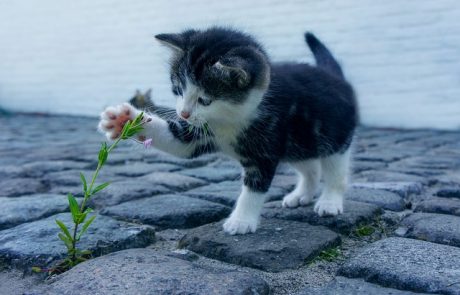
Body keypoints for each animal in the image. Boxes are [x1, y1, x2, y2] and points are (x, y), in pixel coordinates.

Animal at [99, 27, 360, 236]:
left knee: (335, 171)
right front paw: (124, 120)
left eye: (205, 100)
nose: (183, 113)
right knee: (310, 167)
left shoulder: (265, 148)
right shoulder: (199, 133)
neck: (230, 119)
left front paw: (241, 221)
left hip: (334, 136)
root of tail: (335, 77)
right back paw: (301, 195)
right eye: (178, 89)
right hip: (299, 142)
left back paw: (329, 201)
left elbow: (254, 187)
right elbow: (178, 142)